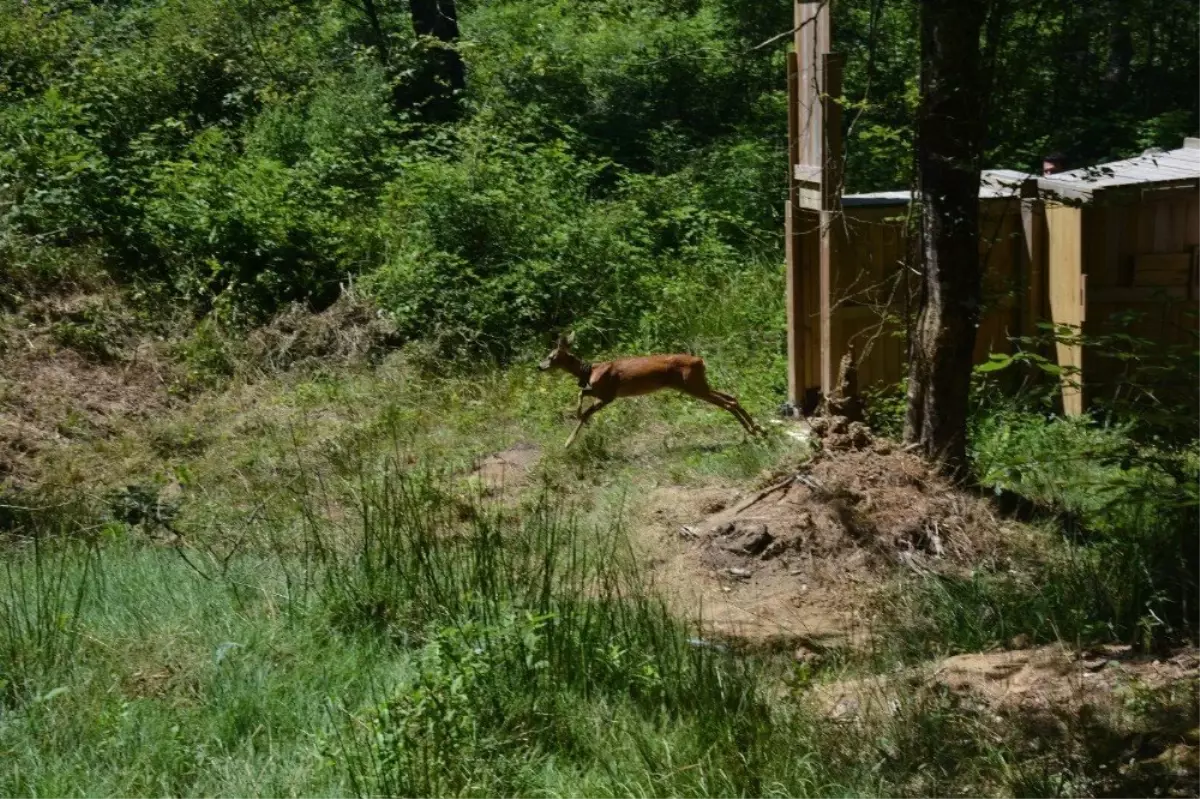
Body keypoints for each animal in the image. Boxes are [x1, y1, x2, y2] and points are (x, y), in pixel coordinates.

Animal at [540, 333, 763, 448]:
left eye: (551, 356)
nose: (539, 366)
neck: (590, 371)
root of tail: (700, 361)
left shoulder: (608, 394)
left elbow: (584, 406)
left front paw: (569, 441)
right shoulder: (604, 394)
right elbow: (582, 396)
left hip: (692, 385)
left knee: (728, 402)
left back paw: (754, 430)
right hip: (697, 384)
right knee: (731, 397)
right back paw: (759, 429)